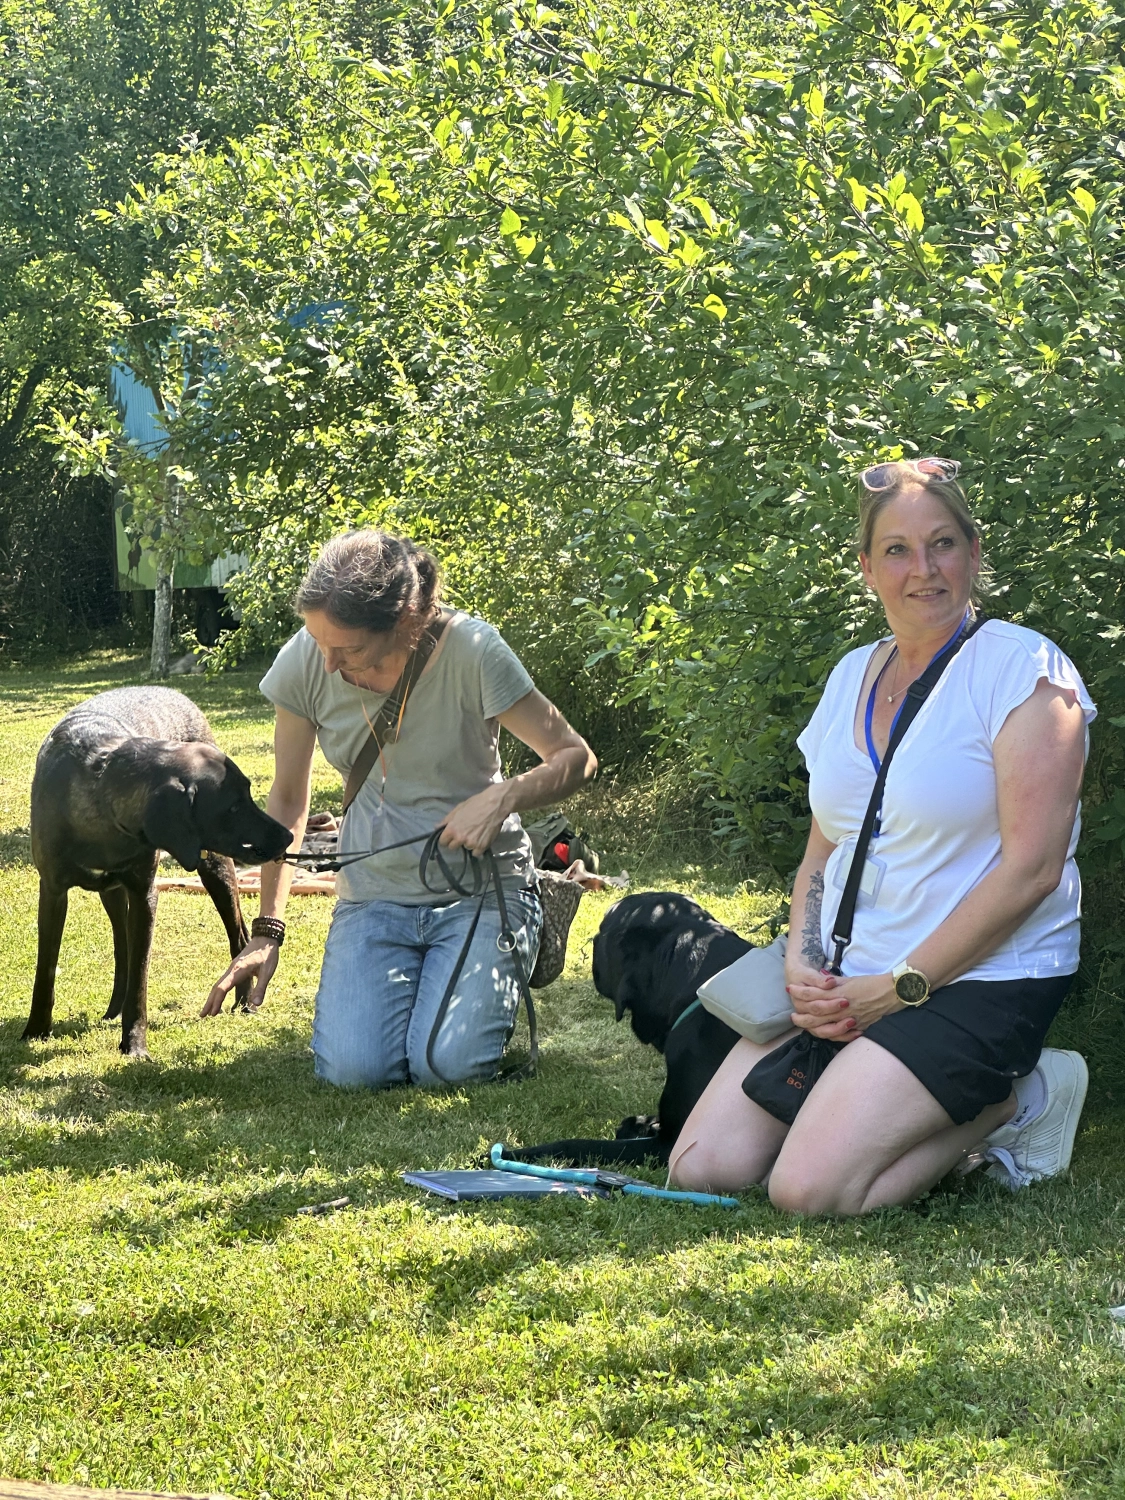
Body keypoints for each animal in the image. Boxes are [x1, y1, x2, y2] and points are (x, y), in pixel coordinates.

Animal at [26, 687, 292, 1056]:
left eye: (249, 794)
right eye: (233, 806)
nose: (288, 836)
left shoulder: (144, 895)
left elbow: (140, 975)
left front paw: (134, 1044)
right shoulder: (52, 891)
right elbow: (46, 967)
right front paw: (36, 1030)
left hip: (215, 868)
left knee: (239, 936)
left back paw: (242, 1002)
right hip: (113, 893)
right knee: (121, 945)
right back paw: (113, 1008)